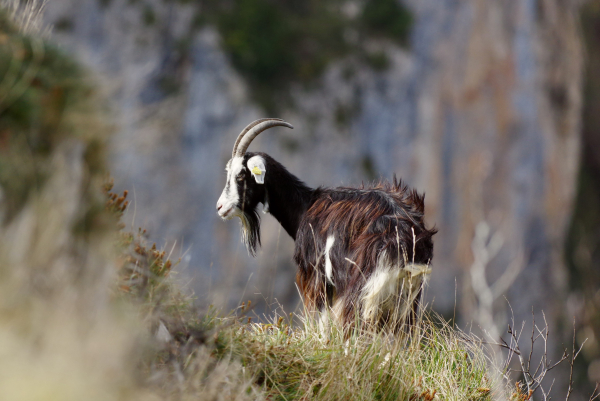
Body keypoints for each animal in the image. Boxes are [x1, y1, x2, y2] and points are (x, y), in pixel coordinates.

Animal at [216, 118, 436, 332]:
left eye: (241, 175)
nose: (220, 207)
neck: (305, 205)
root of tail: (404, 238)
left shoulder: (317, 277)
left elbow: (322, 323)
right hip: (406, 296)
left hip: (359, 285)